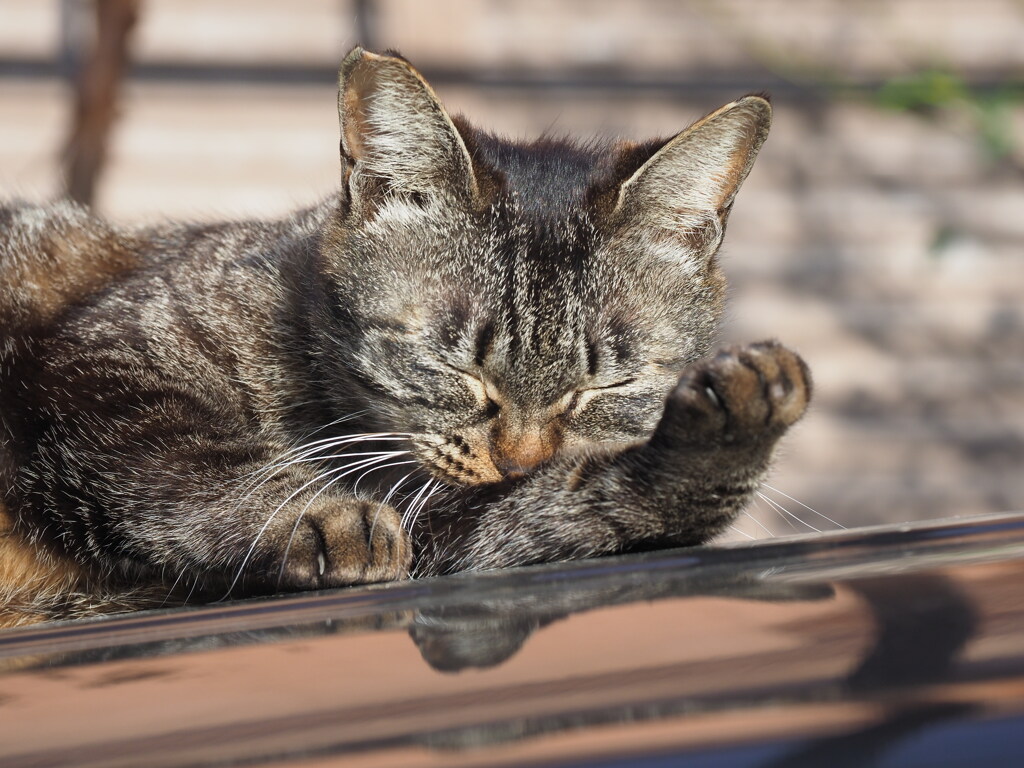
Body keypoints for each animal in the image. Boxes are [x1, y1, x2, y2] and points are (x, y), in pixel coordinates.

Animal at [0, 46, 806, 626]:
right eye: (454, 364)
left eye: (608, 383)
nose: (519, 460)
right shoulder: (106, 357)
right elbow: (193, 459)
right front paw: (316, 512)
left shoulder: (465, 532)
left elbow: (570, 506)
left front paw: (722, 441)